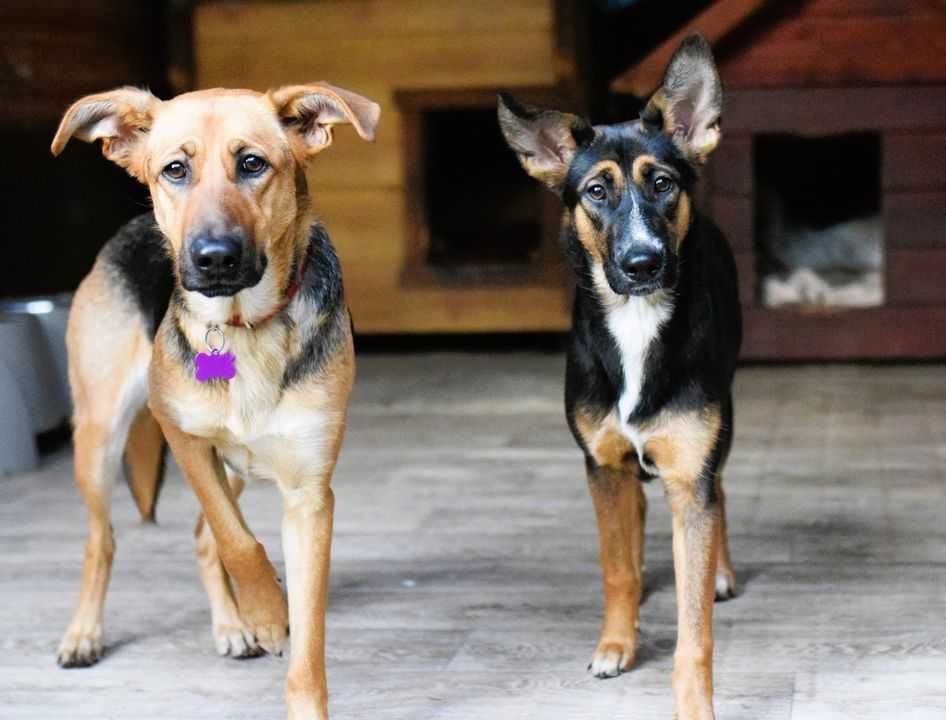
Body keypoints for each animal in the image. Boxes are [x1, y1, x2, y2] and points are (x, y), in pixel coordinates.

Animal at [49, 81, 378, 716]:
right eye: (175, 170)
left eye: (252, 164)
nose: (214, 257)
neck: (243, 326)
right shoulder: (182, 436)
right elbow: (237, 541)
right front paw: (269, 614)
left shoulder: (309, 496)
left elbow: (302, 640)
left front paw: (274, 631)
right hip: (99, 436)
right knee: (103, 539)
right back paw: (83, 634)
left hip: (234, 467)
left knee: (201, 540)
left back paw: (231, 627)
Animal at [498, 36, 740, 720]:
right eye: (596, 192)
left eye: (662, 184)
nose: (642, 263)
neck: (636, 323)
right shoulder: (601, 465)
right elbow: (616, 567)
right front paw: (616, 643)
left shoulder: (690, 470)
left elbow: (694, 627)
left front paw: (694, 703)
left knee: (720, 489)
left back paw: (719, 571)